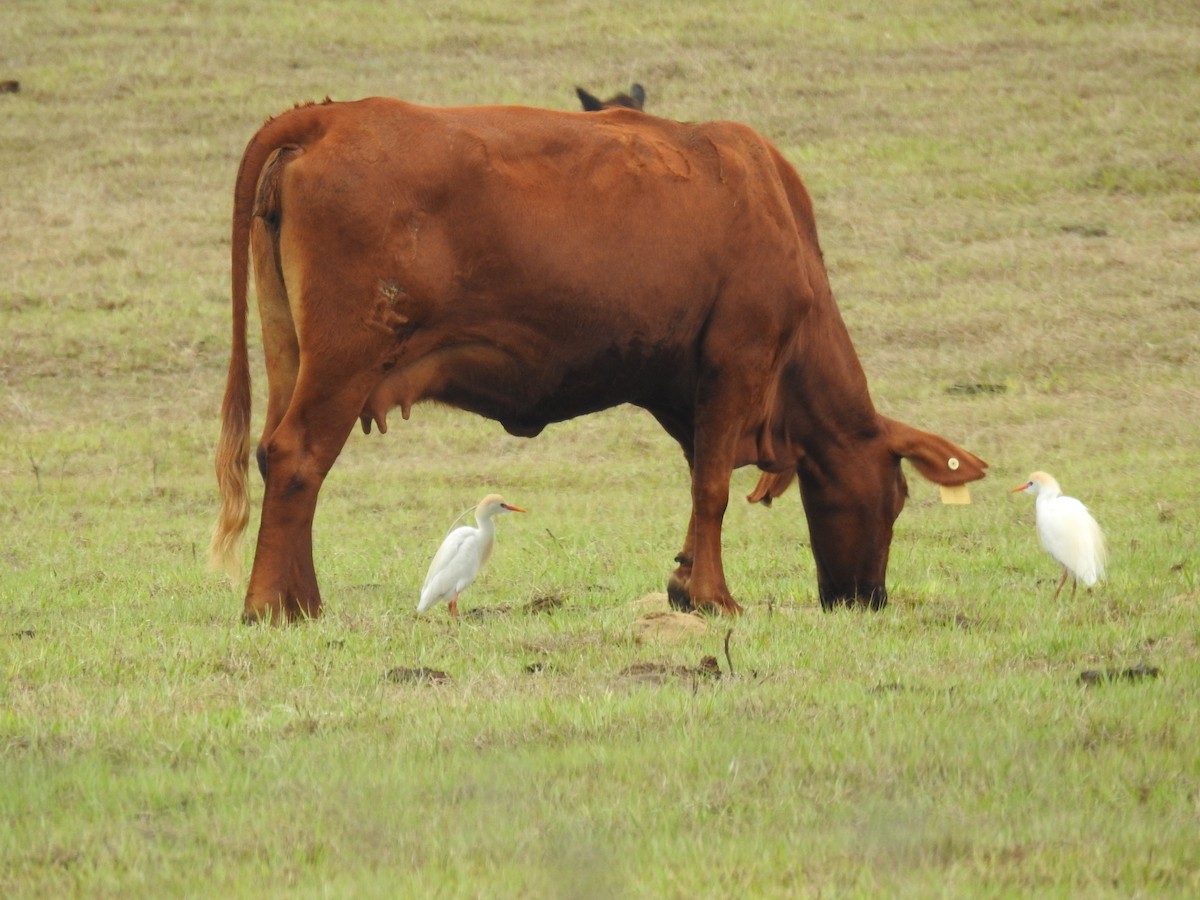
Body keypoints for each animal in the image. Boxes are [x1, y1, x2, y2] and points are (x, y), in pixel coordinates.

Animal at [211, 95, 988, 624]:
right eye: (897, 497)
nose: (866, 598)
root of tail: (332, 117)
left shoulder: (692, 392)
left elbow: (699, 483)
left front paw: (687, 584)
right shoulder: (736, 363)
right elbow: (711, 488)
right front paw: (713, 597)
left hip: (291, 354)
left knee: (279, 456)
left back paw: (303, 600)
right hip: (344, 361)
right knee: (298, 457)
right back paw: (270, 606)